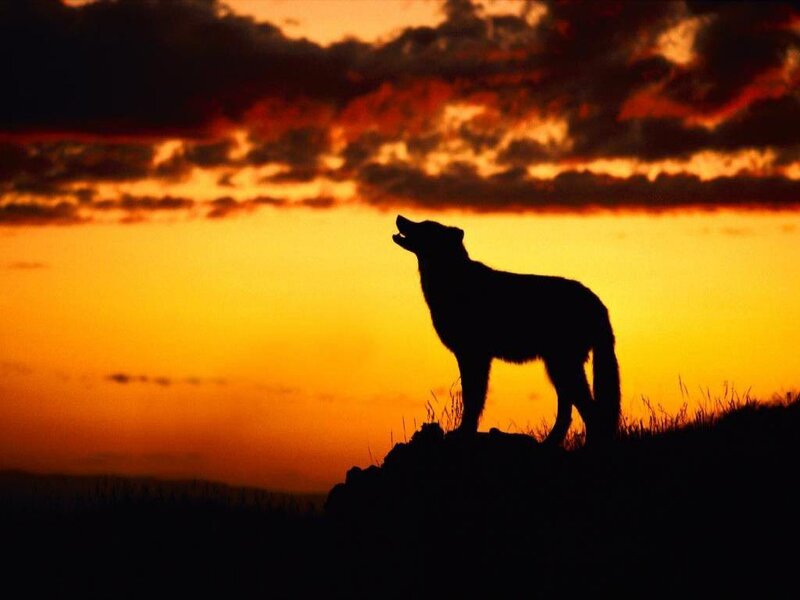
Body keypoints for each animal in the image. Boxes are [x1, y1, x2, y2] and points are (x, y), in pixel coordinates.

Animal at [393, 215, 620, 445]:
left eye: (425, 226)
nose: (399, 217)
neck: (452, 281)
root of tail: (599, 304)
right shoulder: (475, 357)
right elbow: (474, 398)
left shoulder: (473, 355)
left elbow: (472, 398)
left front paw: (463, 432)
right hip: (559, 368)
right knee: (570, 411)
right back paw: (549, 443)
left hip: (563, 367)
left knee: (591, 411)